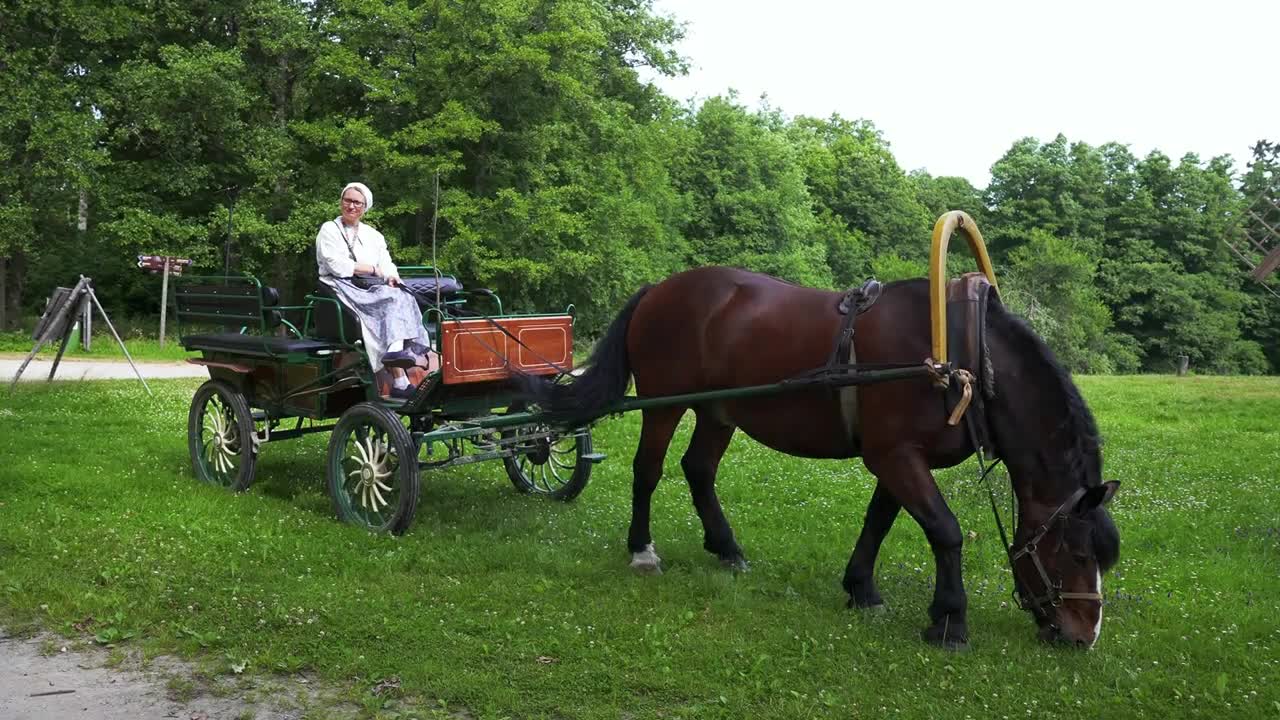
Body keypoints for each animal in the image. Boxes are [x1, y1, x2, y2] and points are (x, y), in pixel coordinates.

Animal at [519, 266, 1121, 648]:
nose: (1084, 636)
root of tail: (658, 289)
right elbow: (946, 531)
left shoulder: (898, 458)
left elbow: (879, 521)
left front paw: (862, 589)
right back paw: (642, 549)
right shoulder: (896, 455)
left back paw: (727, 548)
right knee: (648, 471)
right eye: (1075, 554)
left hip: (718, 411)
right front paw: (949, 621)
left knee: (699, 470)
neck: (959, 353)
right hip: (664, 405)